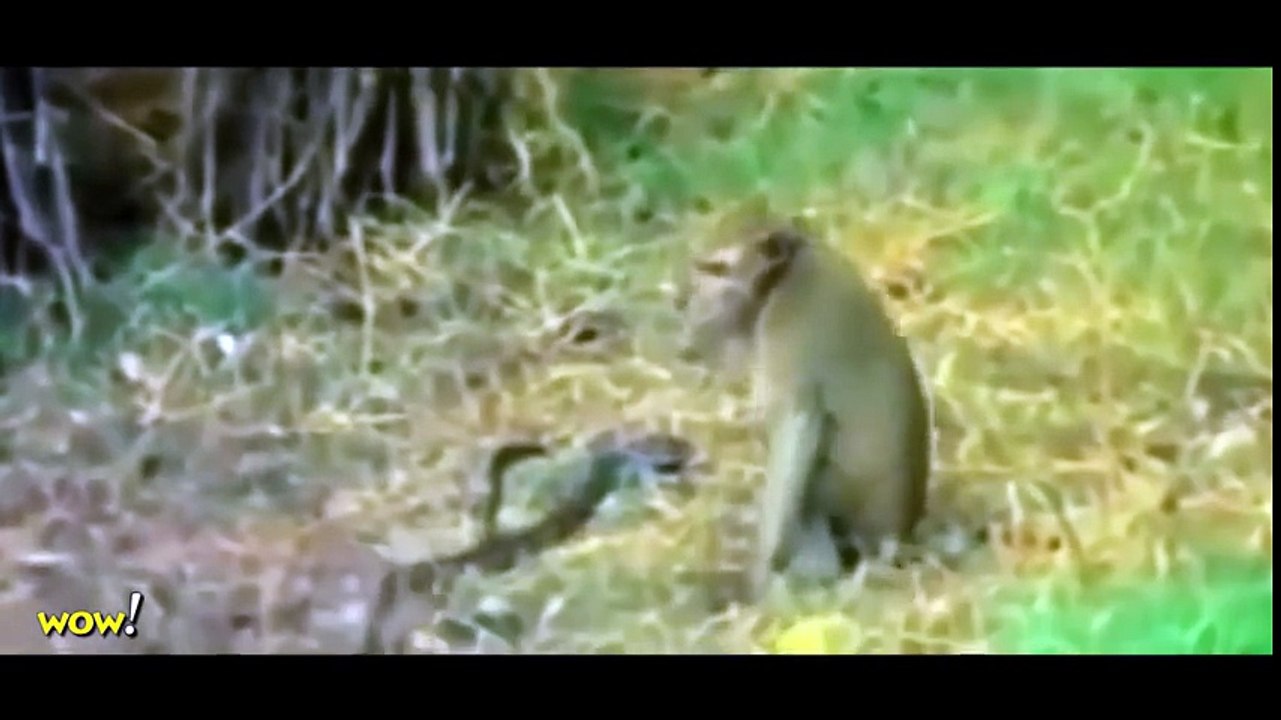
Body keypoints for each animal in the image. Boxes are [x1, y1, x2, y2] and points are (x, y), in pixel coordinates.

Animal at [678, 224, 934, 603]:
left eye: (717, 269)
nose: (686, 298)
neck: (786, 274)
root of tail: (897, 537)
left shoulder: (784, 333)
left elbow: (795, 425)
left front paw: (762, 574)